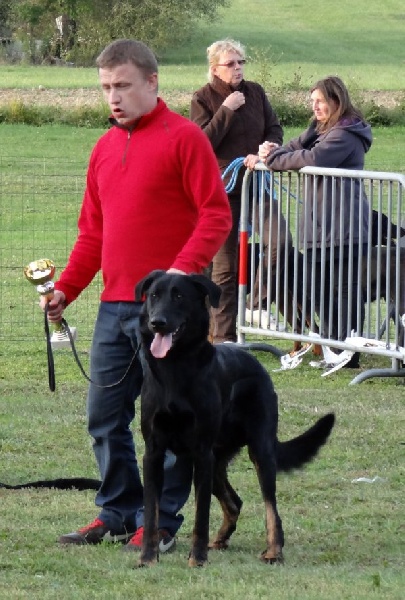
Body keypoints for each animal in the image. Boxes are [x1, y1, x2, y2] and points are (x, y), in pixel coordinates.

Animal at [135, 270, 335, 567]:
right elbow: (151, 513)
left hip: (259, 452)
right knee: (235, 502)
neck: (175, 367)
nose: (157, 322)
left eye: (179, 296)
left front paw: (197, 559)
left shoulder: (201, 453)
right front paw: (148, 558)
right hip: (216, 462)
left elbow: (201, 515)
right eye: (154, 296)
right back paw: (221, 539)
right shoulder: (154, 452)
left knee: (271, 507)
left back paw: (274, 551)